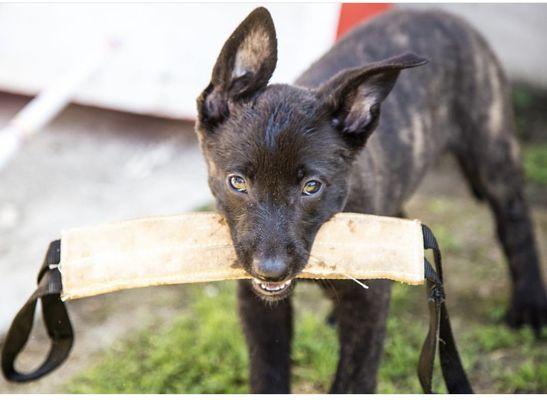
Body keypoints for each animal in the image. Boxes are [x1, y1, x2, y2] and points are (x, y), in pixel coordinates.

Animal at [195, 7, 544, 394]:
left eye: (311, 186)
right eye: (237, 182)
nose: (270, 269)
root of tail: (440, 12)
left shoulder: (369, 304)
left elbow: (354, 376)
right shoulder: (256, 300)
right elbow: (267, 370)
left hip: (492, 150)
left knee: (515, 221)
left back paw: (529, 304)